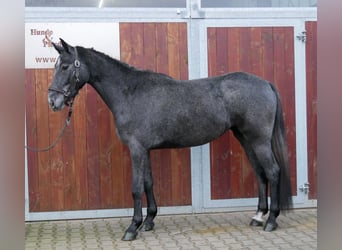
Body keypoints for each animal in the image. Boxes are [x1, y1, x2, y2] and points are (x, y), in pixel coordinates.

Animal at [48, 38, 292, 240]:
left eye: (65, 66)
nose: (52, 100)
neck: (130, 92)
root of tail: (265, 83)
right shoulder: (144, 150)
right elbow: (148, 182)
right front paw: (148, 221)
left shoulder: (136, 149)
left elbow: (136, 187)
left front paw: (132, 227)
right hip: (246, 138)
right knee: (260, 173)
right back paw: (258, 216)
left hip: (259, 140)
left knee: (272, 171)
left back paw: (271, 221)